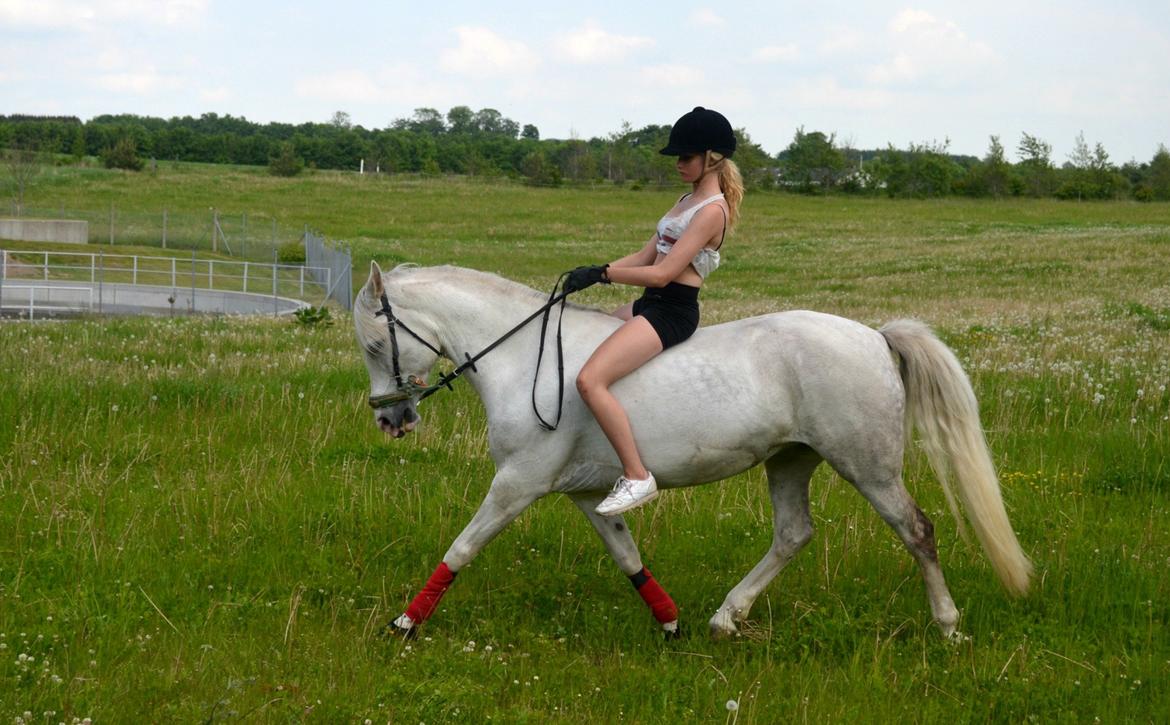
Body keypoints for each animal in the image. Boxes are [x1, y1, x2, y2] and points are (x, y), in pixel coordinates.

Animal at [355, 263, 1034, 636]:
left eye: (372, 345)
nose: (390, 419)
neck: (524, 357)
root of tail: (874, 336)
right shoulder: (586, 494)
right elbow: (627, 556)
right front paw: (670, 622)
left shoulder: (518, 483)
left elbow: (462, 548)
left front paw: (404, 623)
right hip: (791, 459)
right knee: (794, 534)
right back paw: (724, 618)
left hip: (867, 465)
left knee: (917, 530)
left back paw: (947, 626)